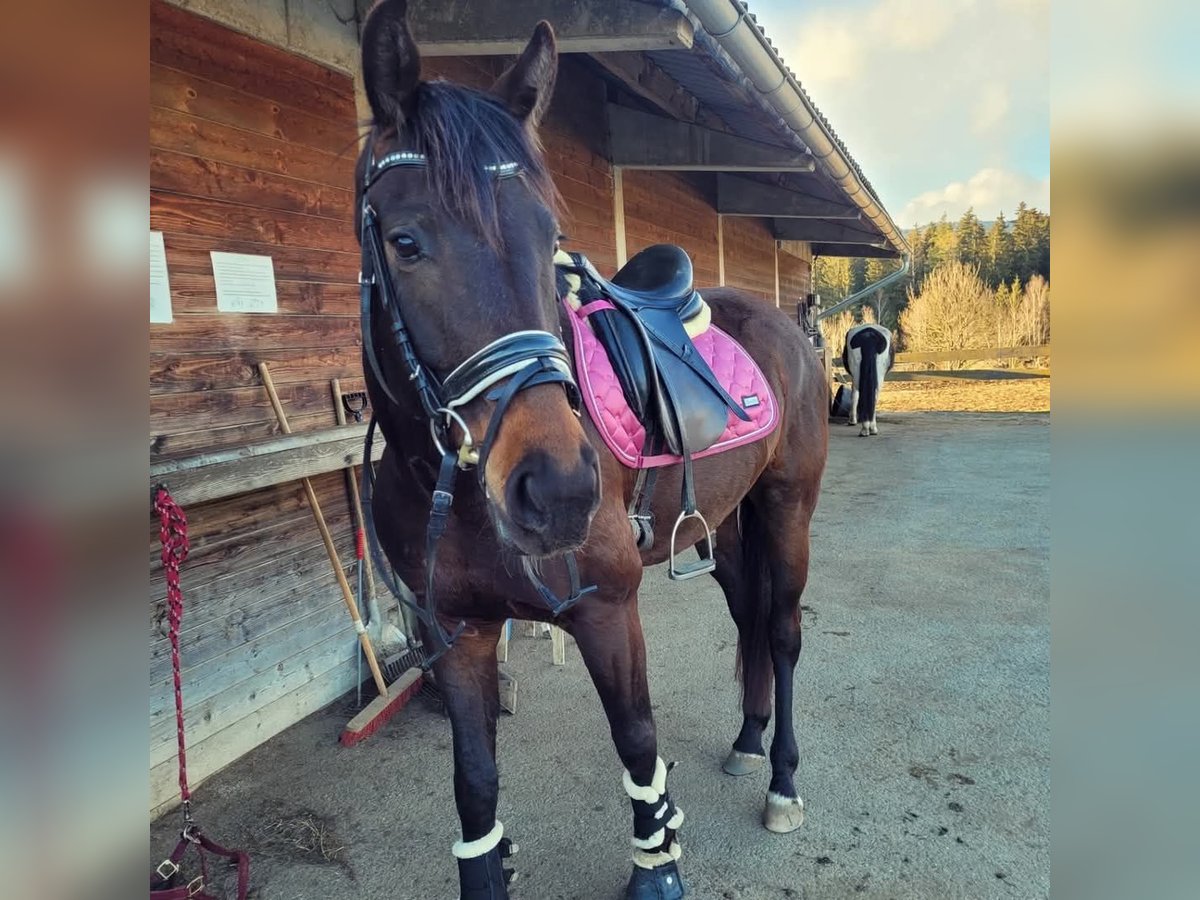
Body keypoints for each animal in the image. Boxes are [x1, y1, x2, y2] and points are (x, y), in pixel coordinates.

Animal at [350, 3, 830, 897]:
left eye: (550, 238)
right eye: (405, 241)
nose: (558, 490)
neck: (449, 487)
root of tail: (785, 325)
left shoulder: (608, 610)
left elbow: (638, 743)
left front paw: (658, 863)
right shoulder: (454, 633)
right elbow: (475, 784)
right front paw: (487, 862)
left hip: (788, 509)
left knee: (781, 632)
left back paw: (782, 778)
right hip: (730, 523)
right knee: (749, 617)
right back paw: (747, 740)